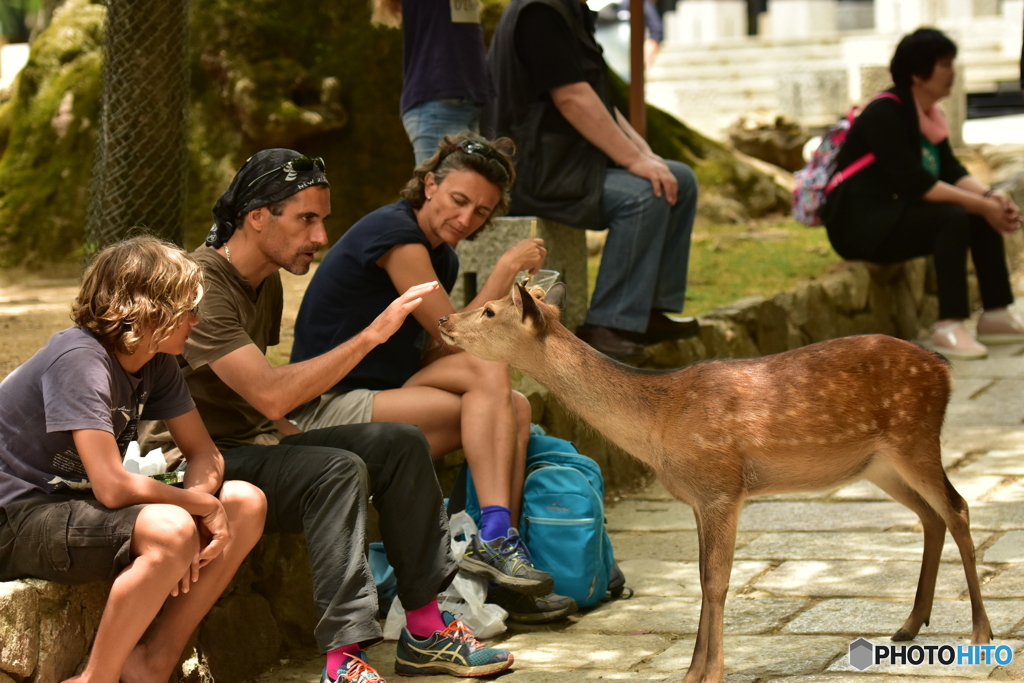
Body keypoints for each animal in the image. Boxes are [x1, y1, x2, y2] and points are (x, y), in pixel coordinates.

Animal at [438, 282, 991, 683]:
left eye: (489, 311)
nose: (444, 318)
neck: (657, 423)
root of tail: (943, 369)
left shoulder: (723, 486)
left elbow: (717, 582)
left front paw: (712, 673)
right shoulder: (699, 498)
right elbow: (704, 580)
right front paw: (690, 673)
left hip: (915, 436)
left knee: (958, 507)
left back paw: (981, 633)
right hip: (879, 462)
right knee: (931, 515)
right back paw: (909, 625)